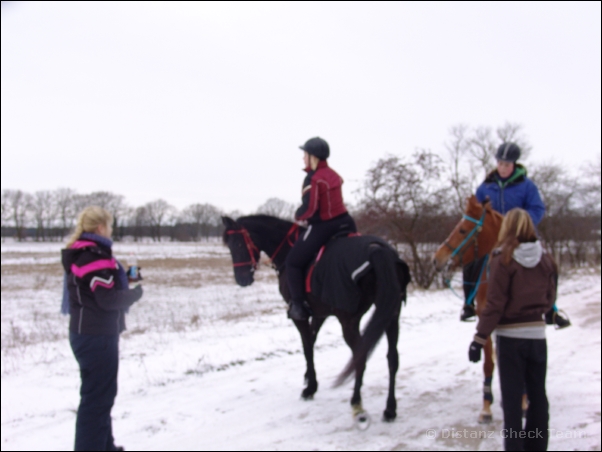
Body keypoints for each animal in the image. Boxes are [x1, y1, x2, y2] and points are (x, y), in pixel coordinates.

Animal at [221, 215, 411, 428]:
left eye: (238, 243)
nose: (242, 280)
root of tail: (377, 249)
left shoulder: (300, 315)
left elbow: (307, 347)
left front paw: (310, 388)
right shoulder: (320, 313)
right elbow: (312, 341)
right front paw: (308, 379)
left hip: (349, 321)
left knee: (360, 357)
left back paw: (357, 406)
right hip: (391, 314)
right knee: (392, 358)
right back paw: (390, 409)